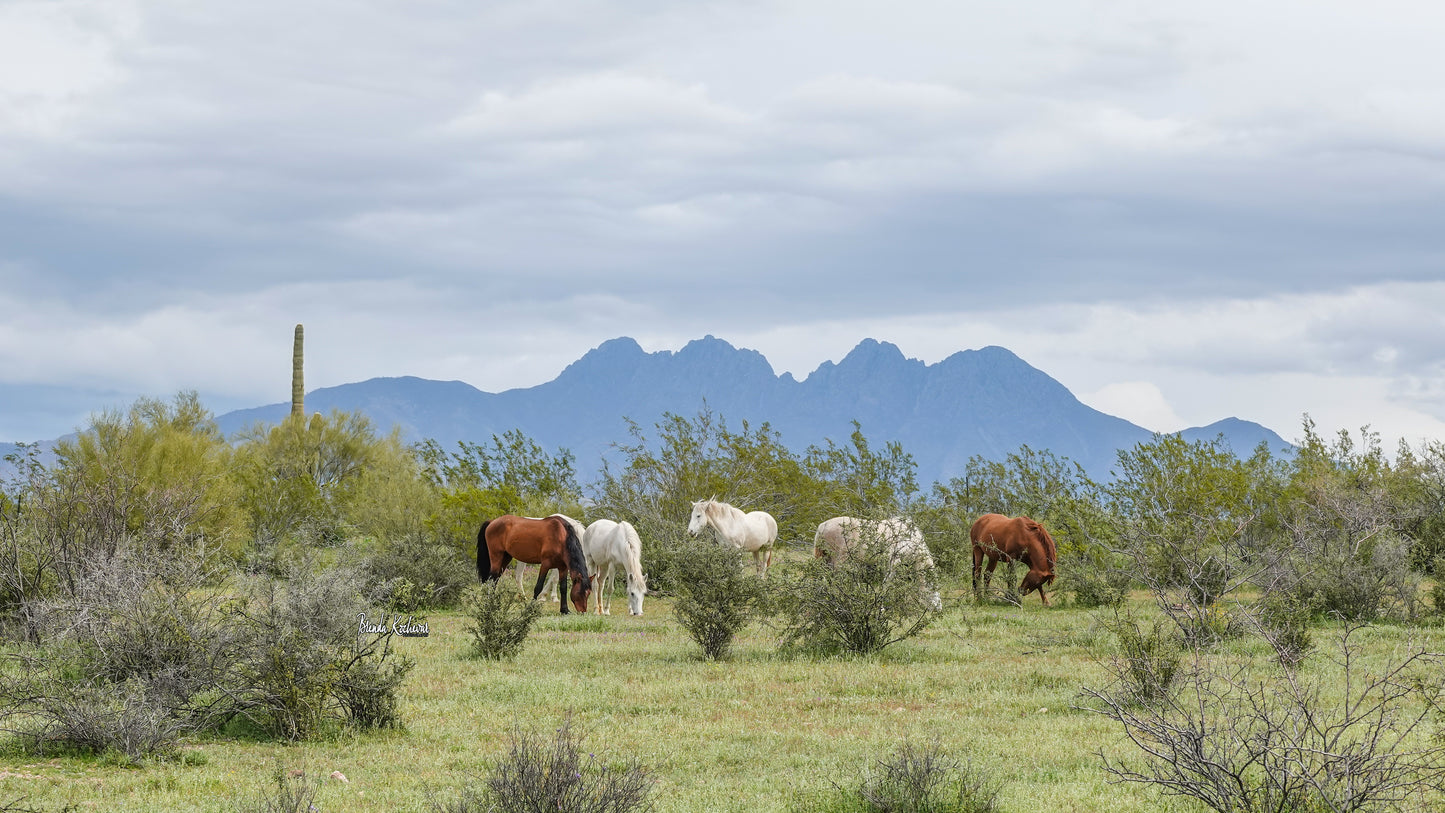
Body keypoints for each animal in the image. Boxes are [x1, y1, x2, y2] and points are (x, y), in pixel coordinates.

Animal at [814, 516, 943, 611]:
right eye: (933, 590)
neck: (910, 539)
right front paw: (881, 607)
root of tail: (824, 525)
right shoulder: (893, 563)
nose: (939, 609)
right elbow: (886, 584)